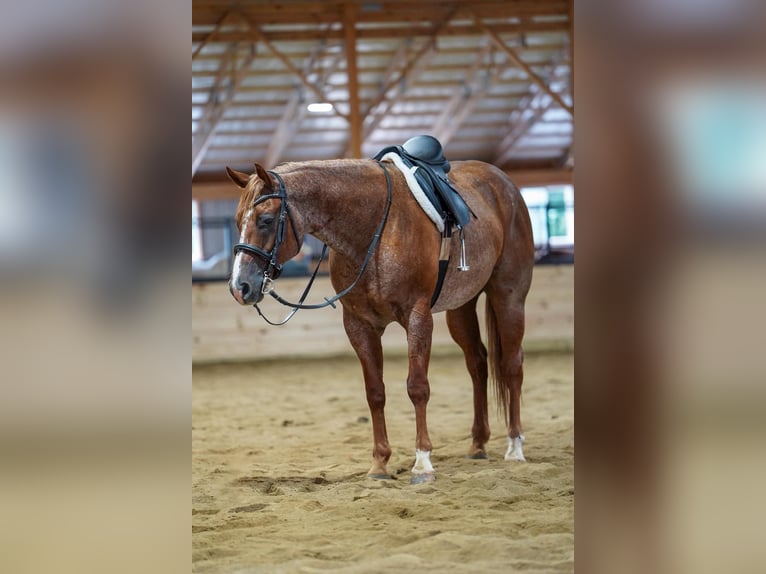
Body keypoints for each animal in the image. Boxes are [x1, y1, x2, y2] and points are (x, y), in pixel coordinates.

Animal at [226, 158, 535, 483]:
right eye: (237, 221)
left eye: (266, 219)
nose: (239, 286)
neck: (374, 230)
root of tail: (503, 183)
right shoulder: (359, 325)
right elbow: (375, 392)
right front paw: (379, 464)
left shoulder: (418, 317)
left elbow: (417, 387)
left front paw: (422, 462)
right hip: (461, 307)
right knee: (477, 364)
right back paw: (478, 444)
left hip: (508, 297)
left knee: (511, 365)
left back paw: (515, 447)